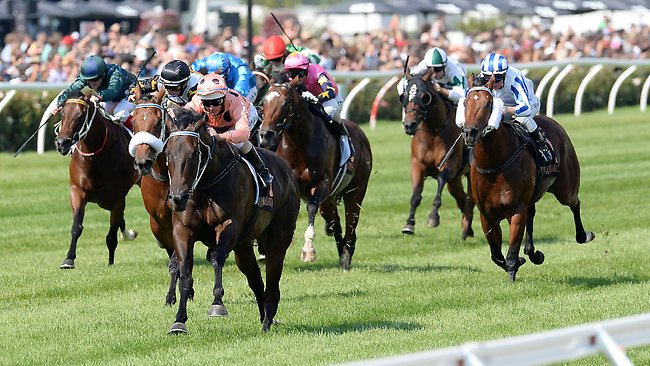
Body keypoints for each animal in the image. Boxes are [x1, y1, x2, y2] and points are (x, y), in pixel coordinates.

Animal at [53, 91, 139, 268]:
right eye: (63, 113)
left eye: (80, 115)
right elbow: (76, 226)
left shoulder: (117, 198)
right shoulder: (77, 191)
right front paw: (68, 259)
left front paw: (111, 262)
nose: (61, 143)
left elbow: (112, 234)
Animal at [163, 107, 298, 334]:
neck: (204, 187)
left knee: (272, 276)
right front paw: (179, 321)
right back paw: (264, 317)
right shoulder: (182, 230)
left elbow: (216, 258)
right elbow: (185, 273)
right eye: (168, 153)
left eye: (194, 153)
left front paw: (217, 304)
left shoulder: (228, 226)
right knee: (255, 279)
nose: (178, 198)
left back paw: (268, 319)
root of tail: (286, 170)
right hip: (243, 246)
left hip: (278, 237)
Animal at [256, 74, 370, 270]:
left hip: (355, 191)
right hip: (329, 201)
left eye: (285, 104)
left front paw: (308, 250)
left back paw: (346, 257)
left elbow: (311, 208)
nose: (265, 135)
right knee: (335, 224)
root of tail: (361, 134)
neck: (300, 145)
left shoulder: (323, 183)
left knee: (351, 223)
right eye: (264, 102)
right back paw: (342, 254)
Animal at [398, 68, 474, 240]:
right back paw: (468, 229)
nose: (409, 125)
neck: (433, 131)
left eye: (424, 96)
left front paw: (433, 217)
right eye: (404, 95)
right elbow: (415, 196)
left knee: (469, 198)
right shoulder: (417, 165)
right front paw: (409, 224)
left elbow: (440, 181)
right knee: (461, 197)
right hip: (456, 180)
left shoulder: (450, 164)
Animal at [460, 74, 592, 280]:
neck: (494, 163)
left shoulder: (516, 210)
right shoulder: (487, 215)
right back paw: (533, 253)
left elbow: (511, 253)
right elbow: (496, 254)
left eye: (489, 104)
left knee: (574, 203)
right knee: (532, 214)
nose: (469, 132)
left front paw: (513, 270)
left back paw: (583, 235)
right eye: (466, 102)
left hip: (566, 188)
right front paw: (521, 259)